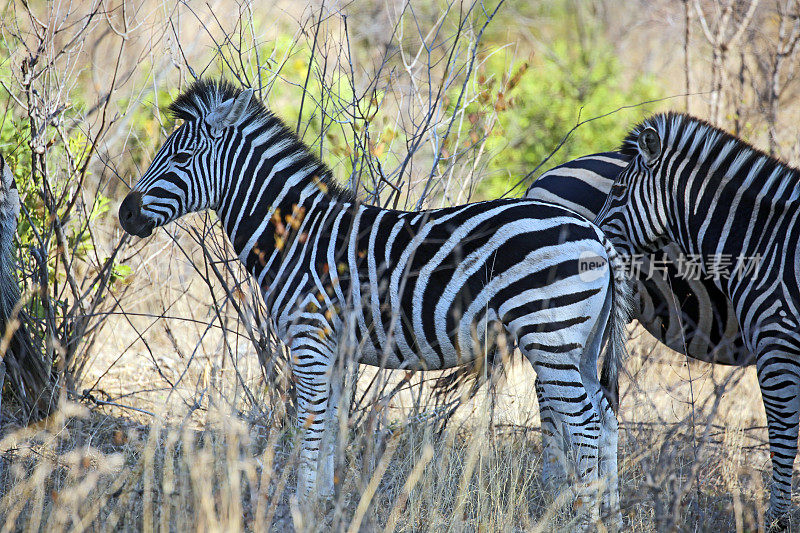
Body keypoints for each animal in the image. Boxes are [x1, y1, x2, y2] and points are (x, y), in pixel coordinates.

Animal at [119, 80, 632, 524]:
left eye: (181, 156)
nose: (125, 214)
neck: (297, 240)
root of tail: (595, 233)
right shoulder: (334, 348)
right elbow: (330, 422)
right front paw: (325, 503)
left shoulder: (310, 339)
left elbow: (311, 422)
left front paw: (302, 506)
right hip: (582, 343)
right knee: (606, 416)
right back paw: (610, 514)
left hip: (550, 336)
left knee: (585, 423)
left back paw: (586, 519)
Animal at [596, 112, 800, 528]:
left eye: (619, 191)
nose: (589, 234)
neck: (765, 241)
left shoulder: (777, 342)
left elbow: (783, 436)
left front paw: (778, 521)